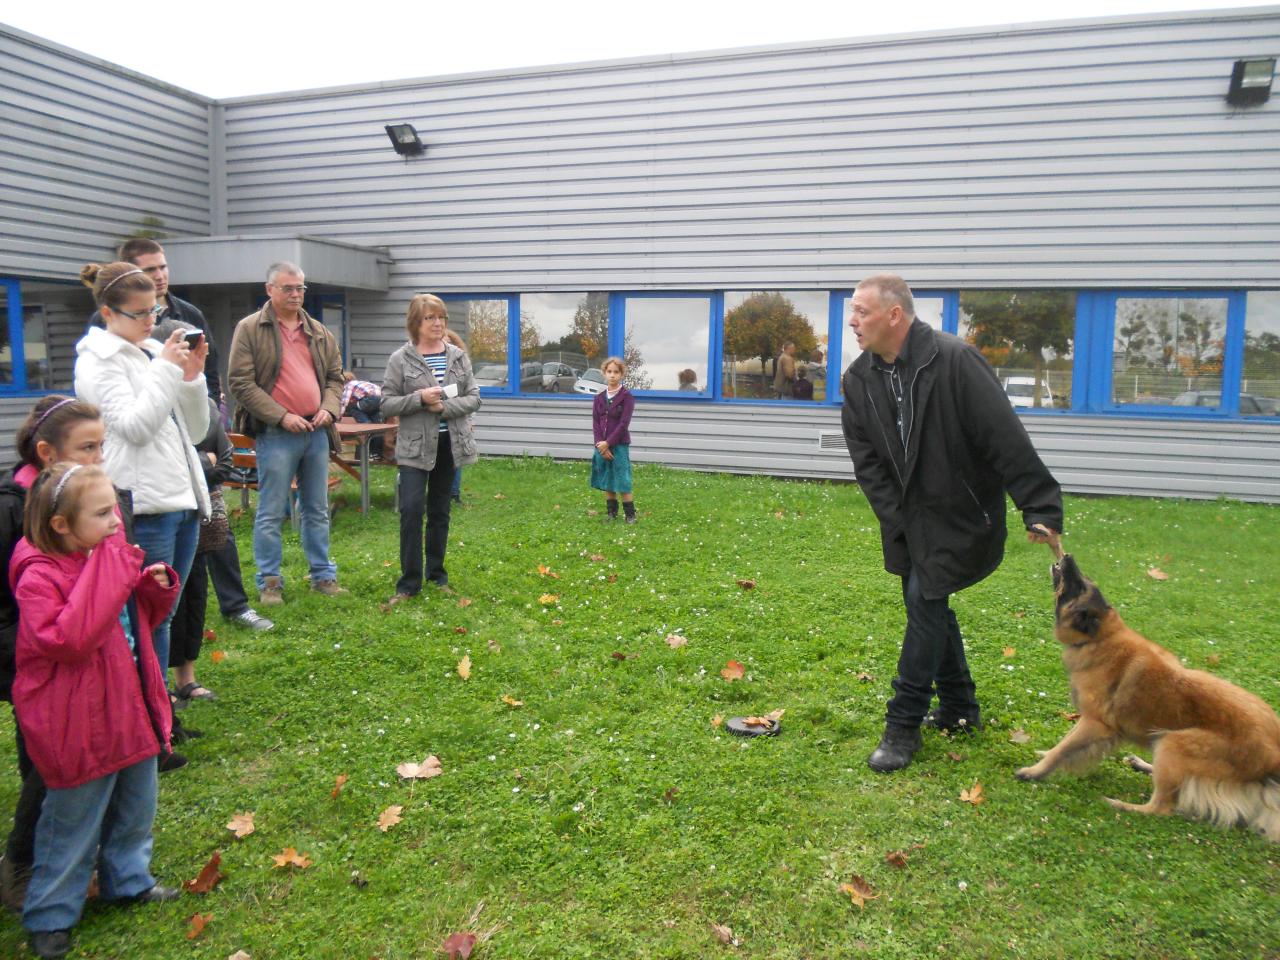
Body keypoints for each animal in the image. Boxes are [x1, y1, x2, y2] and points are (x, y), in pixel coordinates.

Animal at [1018, 555, 1280, 839]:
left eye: (1080, 586)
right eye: (1085, 580)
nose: (1067, 557)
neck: (1099, 637)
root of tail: (1274, 757)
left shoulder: (1095, 723)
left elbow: (1063, 748)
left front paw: (1035, 771)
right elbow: (1065, 743)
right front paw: (1044, 754)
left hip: (1174, 743)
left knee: (1161, 806)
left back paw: (1120, 805)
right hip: (1165, 744)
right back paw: (1142, 765)